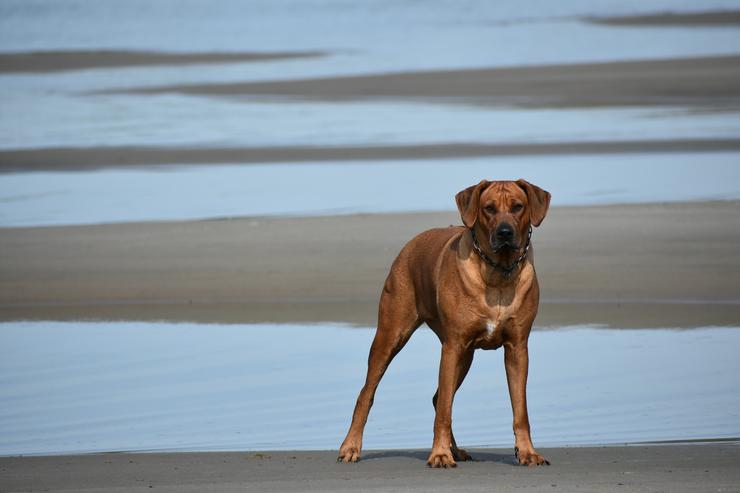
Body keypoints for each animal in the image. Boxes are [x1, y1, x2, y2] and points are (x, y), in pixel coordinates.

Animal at [338, 178, 552, 466]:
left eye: (518, 206)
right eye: (489, 208)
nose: (505, 233)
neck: (497, 271)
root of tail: (411, 243)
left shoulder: (517, 347)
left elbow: (521, 411)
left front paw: (527, 451)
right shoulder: (452, 347)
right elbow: (444, 412)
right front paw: (439, 454)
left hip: (465, 356)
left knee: (438, 396)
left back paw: (456, 449)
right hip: (392, 334)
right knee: (368, 394)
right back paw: (351, 446)